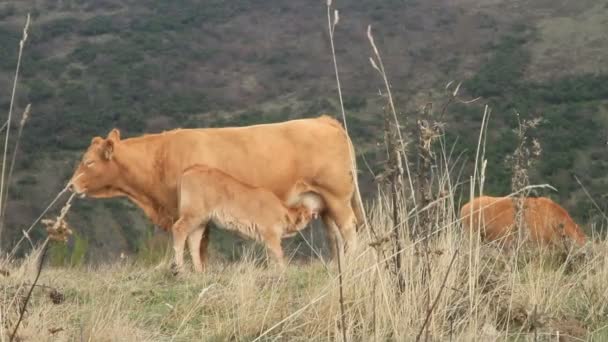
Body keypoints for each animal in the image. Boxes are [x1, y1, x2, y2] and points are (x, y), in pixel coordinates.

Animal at [172, 164, 324, 272]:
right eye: (307, 212)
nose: (316, 213)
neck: (282, 211)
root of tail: (190, 169)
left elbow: (271, 257)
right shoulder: (271, 236)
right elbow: (279, 255)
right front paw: (283, 271)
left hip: (201, 222)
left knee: (193, 242)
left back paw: (199, 272)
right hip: (193, 216)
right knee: (179, 230)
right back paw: (181, 270)